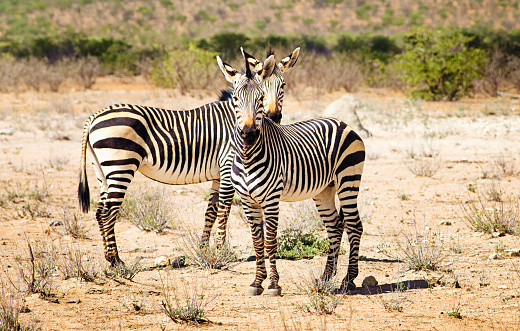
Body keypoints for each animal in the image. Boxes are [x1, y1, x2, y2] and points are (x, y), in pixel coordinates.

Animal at [77, 48, 300, 268]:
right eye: (238, 98)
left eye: (282, 85)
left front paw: (204, 249)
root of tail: (94, 117)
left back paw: (109, 257)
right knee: (108, 212)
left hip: (102, 170)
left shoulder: (218, 174)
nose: (273, 116)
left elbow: (211, 211)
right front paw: (221, 252)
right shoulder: (229, 169)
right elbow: (224, 210)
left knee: (100, 211)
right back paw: (116, 261)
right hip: (120, 166)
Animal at [217, 50, 364, 296]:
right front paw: (257, 282)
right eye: (235, 99)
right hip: (325, 190)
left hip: (348, 181)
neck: (248, 156)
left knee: (354, 225)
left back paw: (348, 280)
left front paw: (274, 284)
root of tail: (342, 122)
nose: (249, 134)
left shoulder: (271, 199)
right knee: (335, 226)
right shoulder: (248, 200)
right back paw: (326, 277)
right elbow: (257, 242)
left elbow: (270, 241)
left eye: (260, 99)